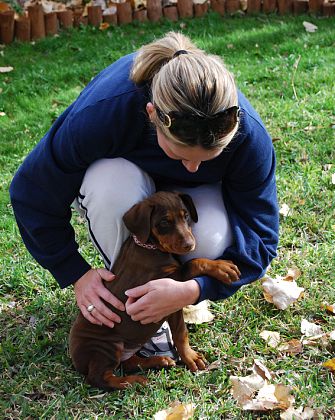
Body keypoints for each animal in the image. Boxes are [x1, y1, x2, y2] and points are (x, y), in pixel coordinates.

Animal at [69, 190, 242, 390]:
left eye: (186, 216)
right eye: (164, 222)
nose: (190, 245)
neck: (150, 246)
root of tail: (75, 358)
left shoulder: (170, 299)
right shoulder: (166, 284)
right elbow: (194, 263)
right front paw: (222, 267)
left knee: (128, 363)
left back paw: (158, 361)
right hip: (106, 347)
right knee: (99, 378)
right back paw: (134, 382)